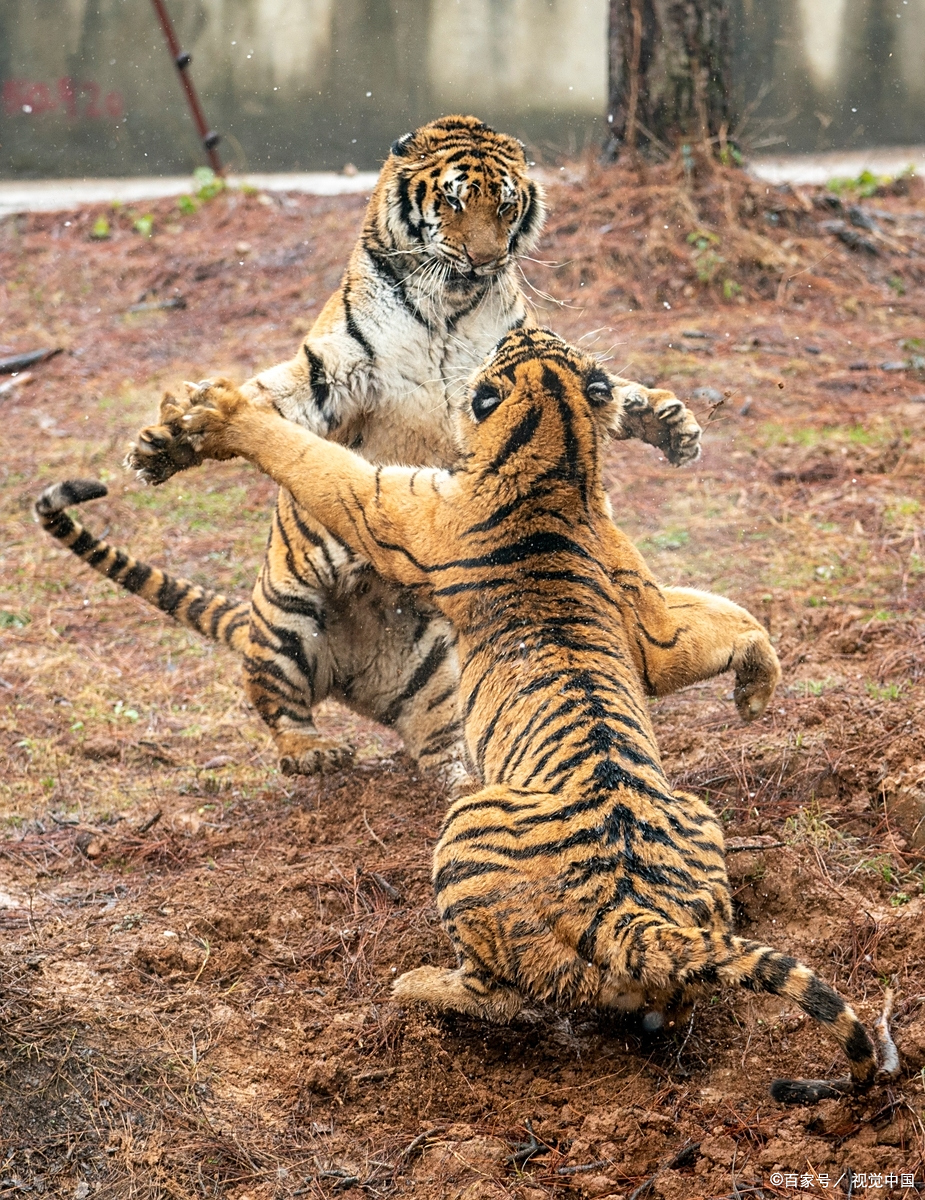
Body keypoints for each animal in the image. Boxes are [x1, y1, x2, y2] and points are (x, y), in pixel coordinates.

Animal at [40, 115, 769, 794]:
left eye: (506, 207)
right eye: (452, 201)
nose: (483, 260)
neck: (449, 305)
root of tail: (354, 674)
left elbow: (605, 391)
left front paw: (668, 421)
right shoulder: (334, 371)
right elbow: (275, 399)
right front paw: (166, 442)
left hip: (439, 662)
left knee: (441, 732)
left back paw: (458, 771)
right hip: (285, 618)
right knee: (274, 701)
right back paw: (313, 751)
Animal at [109, 325, 886, 1104]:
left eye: (519, 347)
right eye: (549, 343)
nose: (517, 328)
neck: (559, 457)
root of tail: (628, 916)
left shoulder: (393, 507)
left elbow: (313, 461)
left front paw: (222, 414)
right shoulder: (653, 623)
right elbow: (727, 618)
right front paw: (755, 691)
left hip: (464, 832)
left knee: (500, 996)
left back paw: (414, 986)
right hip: (696, 828)